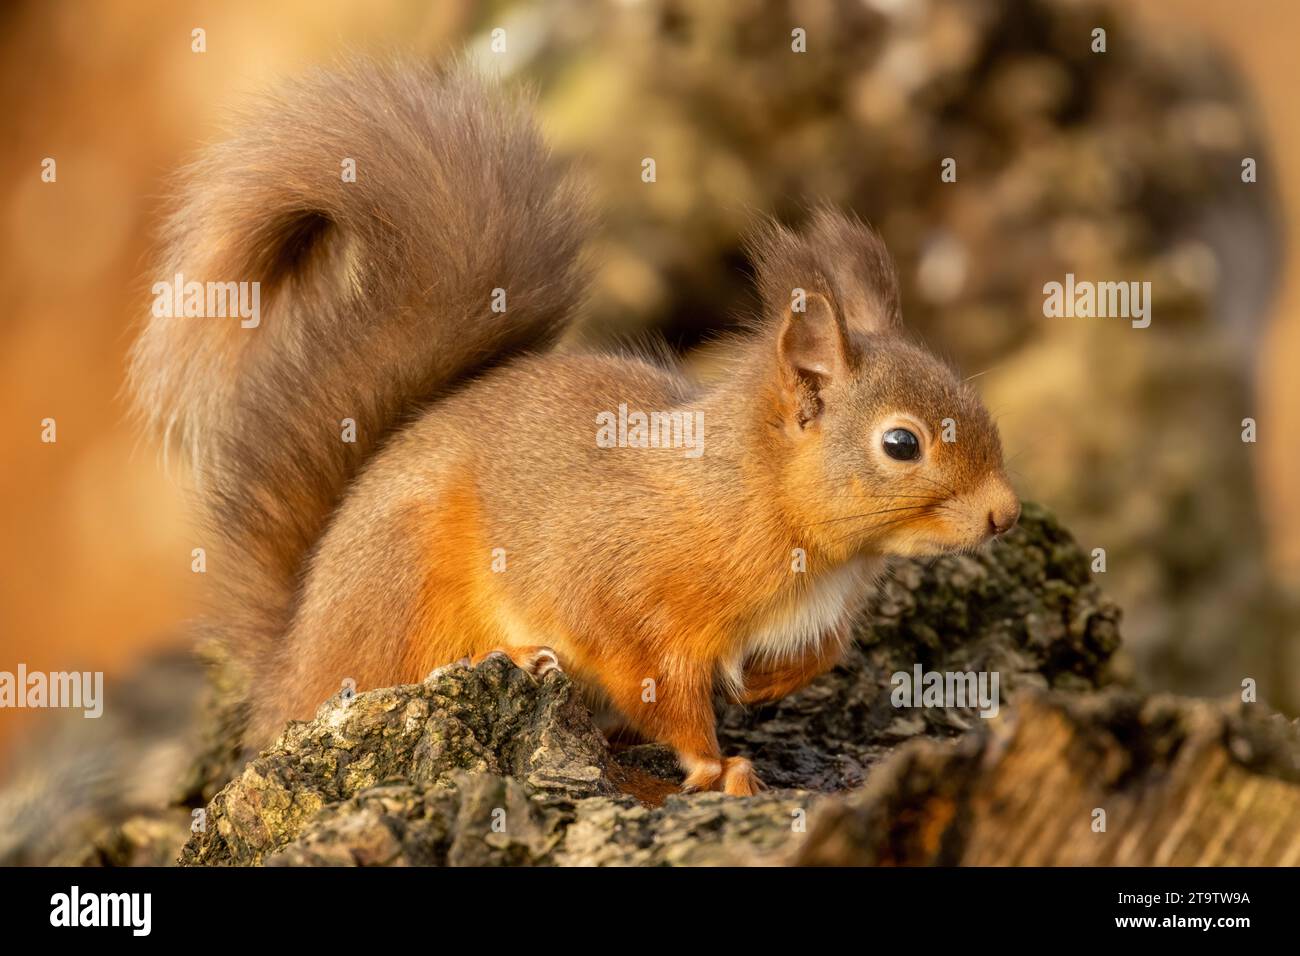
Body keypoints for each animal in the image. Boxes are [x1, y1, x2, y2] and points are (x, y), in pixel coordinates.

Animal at [134, 61, 1024, 801]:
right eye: (902, 444)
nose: (1005, 515)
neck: (758, 501)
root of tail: (291, 663)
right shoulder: (624, 593)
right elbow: (656, 685)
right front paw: (715, 766)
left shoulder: (815, 616)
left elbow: (822, 656)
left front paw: (761, 687)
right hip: (405, 589)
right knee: (387, 675)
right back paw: (507, 660)